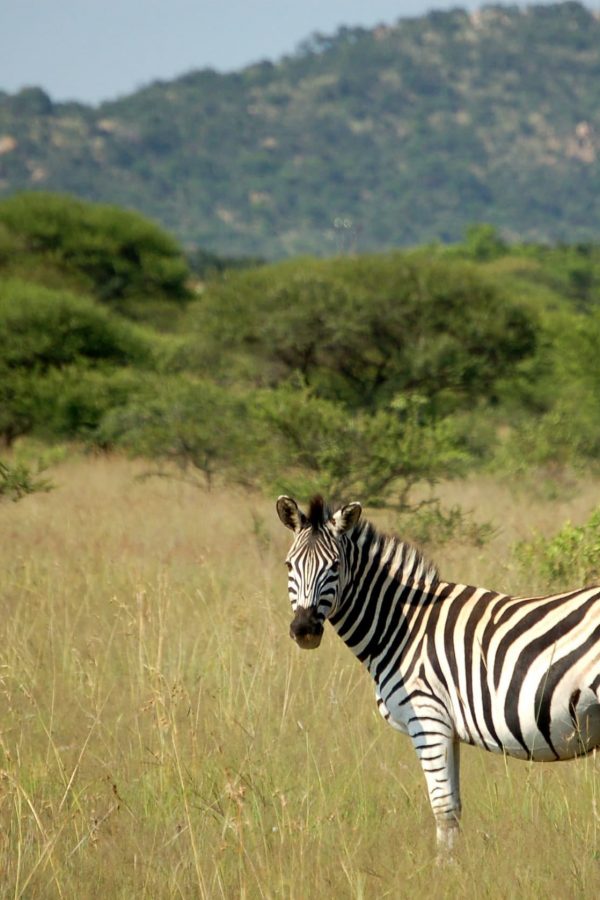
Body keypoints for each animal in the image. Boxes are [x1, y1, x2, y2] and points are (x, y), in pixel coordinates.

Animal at [276, 492, 600, 852]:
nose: (304, 630)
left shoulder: (427, 718)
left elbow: (443, 809)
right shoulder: (448, 728)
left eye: (334, 567)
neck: (400, 628)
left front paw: (442, 868)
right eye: (289, 565)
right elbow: (455, 807)